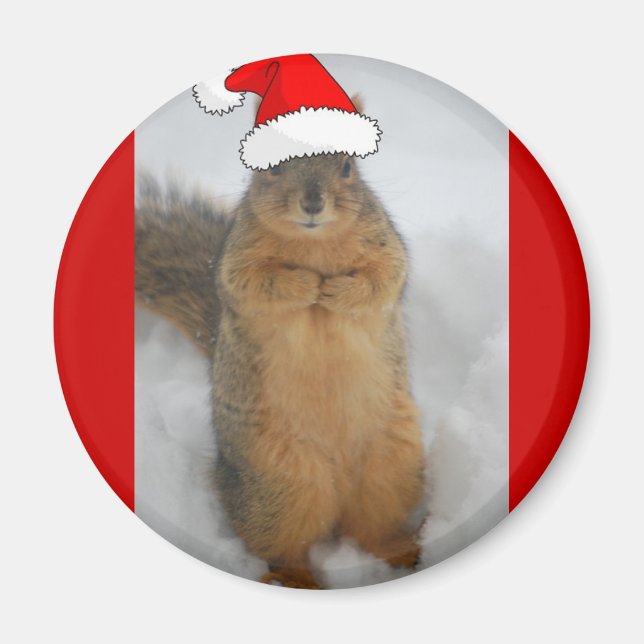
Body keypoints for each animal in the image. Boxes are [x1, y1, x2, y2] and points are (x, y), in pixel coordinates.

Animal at [135, 122, 426, 589]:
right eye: (269, 167)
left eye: (348, 166)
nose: (313, 202)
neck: (314, 242)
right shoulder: (237, 262)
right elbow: (256, 284)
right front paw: (307, 285)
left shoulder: (385, 246)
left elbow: (382, 279)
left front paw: (336, 290)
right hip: (279, 485)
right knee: (282, 546)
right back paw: (295, 578)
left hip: (392, 466)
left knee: (374, 528)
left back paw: (403, 550)